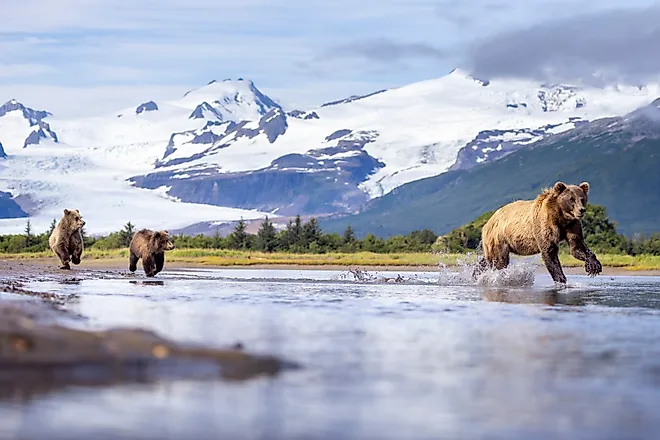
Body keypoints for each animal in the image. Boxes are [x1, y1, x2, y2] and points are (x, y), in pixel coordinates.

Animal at [472, 181, 602, 284]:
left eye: (582, 199)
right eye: (571, 199)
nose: (581, 210)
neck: (561, 216)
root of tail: (488, 222)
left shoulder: (572, 225)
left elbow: (577, 247)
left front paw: (594, 266)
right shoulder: (546, 224)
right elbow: (549, 252)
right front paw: (561, 279)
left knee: (488, 259)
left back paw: (476, 274)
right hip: (499, 237)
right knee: (499, 261)